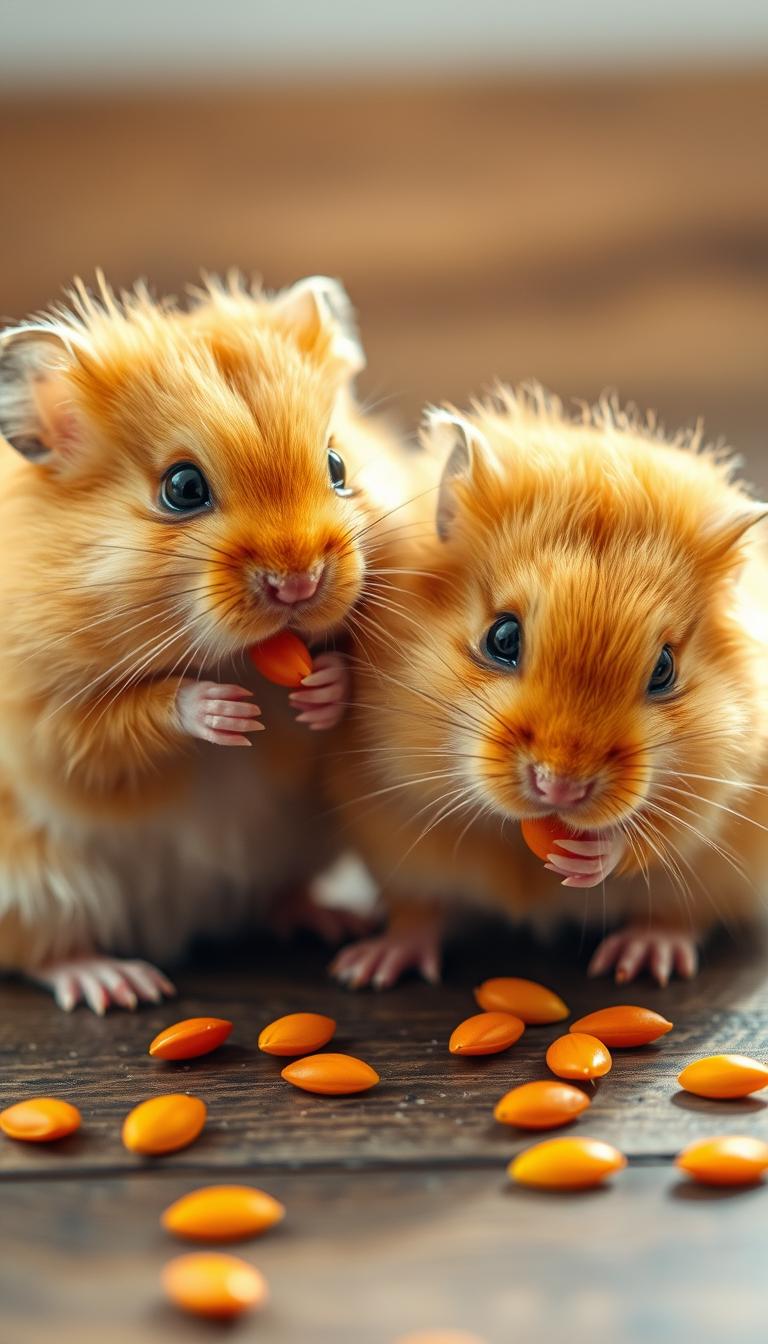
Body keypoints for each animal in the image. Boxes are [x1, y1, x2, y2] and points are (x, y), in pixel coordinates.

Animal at [0, 272, 406, 1011]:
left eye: (338, 465)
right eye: (182, 488)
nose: (299, 583)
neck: (243, 661)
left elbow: (340, 689)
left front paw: (320, 690)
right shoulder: (44, 720)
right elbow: (119, 723)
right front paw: (225, 712)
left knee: (275, 900)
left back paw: (335, 922)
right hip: (30, 892)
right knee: (47, 953)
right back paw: (122, 986)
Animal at [326, 387, 767, 989]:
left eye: (664, 670)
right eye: (502, 637)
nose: (561, 787)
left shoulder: (722, 781)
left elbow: (660, 834)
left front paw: (588, 861)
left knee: (679, 916)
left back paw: (643, 960)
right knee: (418, 914)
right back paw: (370, 967)